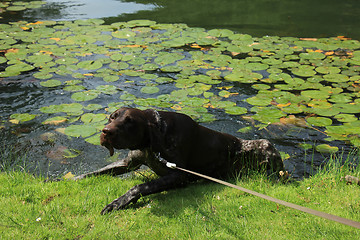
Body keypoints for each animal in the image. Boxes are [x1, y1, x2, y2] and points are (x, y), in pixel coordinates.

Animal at [74, 107, 286, 214]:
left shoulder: (180, 175)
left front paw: (119, 202)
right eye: (112, 117)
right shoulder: (129, 163)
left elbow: (140, 186)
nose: (106, 132)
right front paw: (77, 178)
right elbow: (98, 172)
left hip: (267, 147)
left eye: (130, 122)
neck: (153, 141)